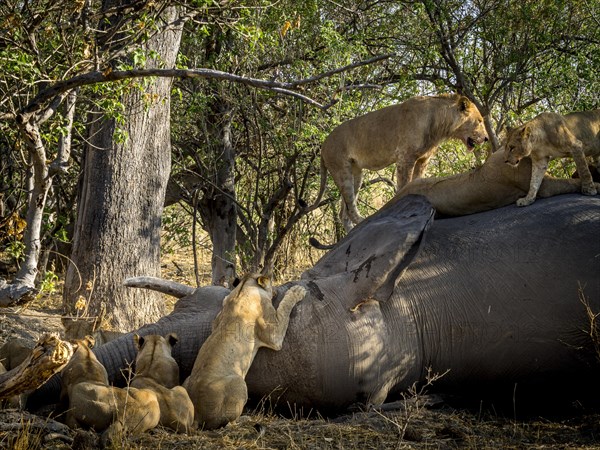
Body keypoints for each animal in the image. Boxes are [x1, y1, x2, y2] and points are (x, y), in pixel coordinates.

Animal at [314, 93, 488, 230]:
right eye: (479, 121)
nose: (486, 138)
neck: (440, 125)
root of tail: (323, 145)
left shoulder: (423, 160)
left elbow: (417, 182)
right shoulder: (405, 157)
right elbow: (404, 186)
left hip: (356, 173)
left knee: (344, 213)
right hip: (341, 170)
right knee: (349, 208)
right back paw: (366, 221)